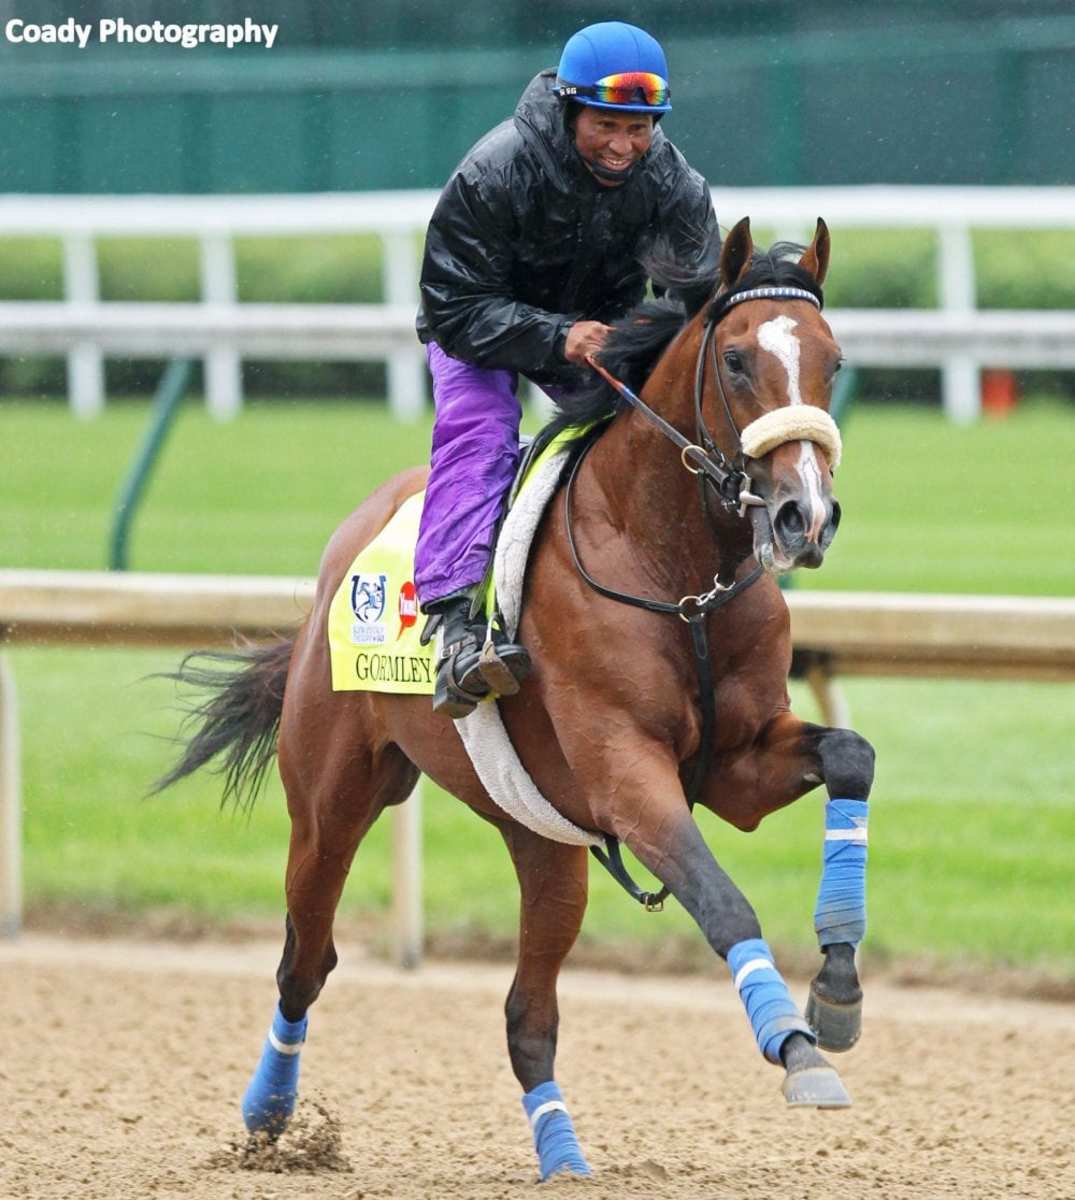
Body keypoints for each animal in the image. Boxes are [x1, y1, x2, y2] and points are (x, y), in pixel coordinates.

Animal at [157, 216, 875, 1181]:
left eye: (832, 360)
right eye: (733, 360)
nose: (805, 516)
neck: (675, 573)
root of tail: (340, 558)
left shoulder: (738, 760)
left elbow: (850, 756)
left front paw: (836, 986)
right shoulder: (626, 772)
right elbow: (720, 898)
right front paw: (795, 1049)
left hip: (544, 842)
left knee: (525, 1016)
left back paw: (562, 1153)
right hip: (329, 803)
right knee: (304, 961)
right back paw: (268, 1117)